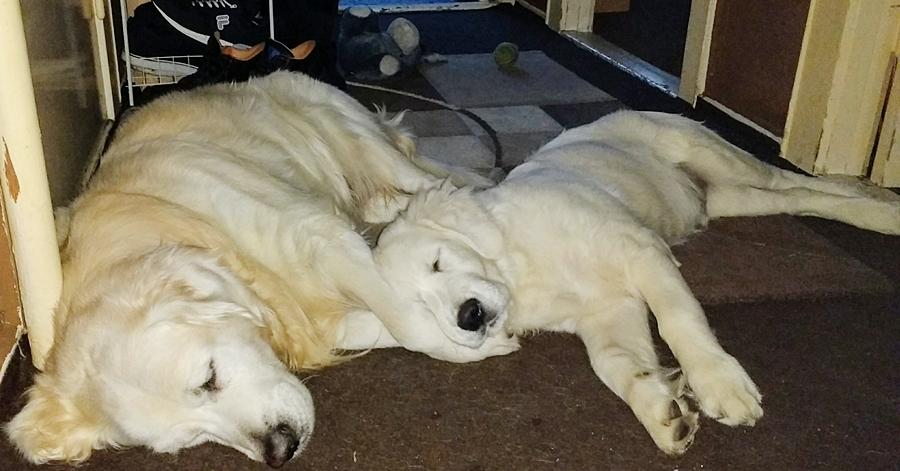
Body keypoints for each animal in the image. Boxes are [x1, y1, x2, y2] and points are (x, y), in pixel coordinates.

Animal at [4, 71, 517, 467]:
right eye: (194, 436)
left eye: (208, 377)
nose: (280, 449)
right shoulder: (322, 316)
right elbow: (389, 323)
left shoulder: (320, 237)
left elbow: (406, 321)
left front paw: (481, 336)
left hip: (352, 132)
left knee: (425, 174)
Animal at [372, 110, 900, 455]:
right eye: (427, 312)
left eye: (438, 263)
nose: (469, 316)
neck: (522, 269)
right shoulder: (609, 311)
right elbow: (614, 364)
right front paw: (665, 413)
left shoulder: (641, 251)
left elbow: (677, 319)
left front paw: (720, 384)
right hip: (733, 198)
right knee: (801, 199)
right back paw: (876, 207)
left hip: (714, 156)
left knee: (804, 182)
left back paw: (880, 204)